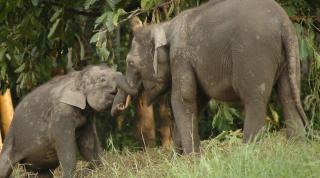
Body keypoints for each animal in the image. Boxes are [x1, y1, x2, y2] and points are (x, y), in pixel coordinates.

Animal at [0, 64, 136, 177]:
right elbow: (64, 142)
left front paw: (96, 169)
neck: (79, 76)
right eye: (102, 79)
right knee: (5, 164)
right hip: (11, 138)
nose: (121, 105)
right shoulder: (61, 112)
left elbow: (88, 142)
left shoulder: (87, 116)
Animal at [111, 0, 308, 154]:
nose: (119, 107)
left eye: (130, 63)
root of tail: (284, 22)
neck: (166, 25)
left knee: (254, 99)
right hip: (287, 57)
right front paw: (179, 158)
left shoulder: (180, 56)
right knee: (288, 97)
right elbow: (198, 100)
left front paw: (190, 159)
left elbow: (183, 98)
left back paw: (248, 153)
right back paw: (296, 149)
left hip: (254, 52)